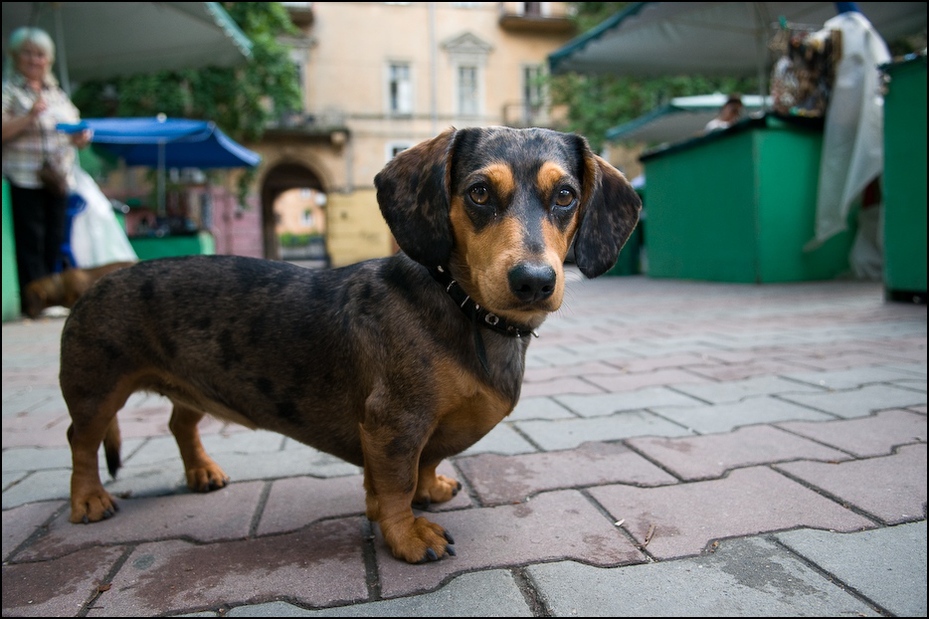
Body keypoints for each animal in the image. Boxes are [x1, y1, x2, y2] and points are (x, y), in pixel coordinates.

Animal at [58, 128, 640, 564]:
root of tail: (95, 283)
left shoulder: (417, 429)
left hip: (188, 384)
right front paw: (407, 534)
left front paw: (428, 490)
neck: (461, 306)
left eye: (565, 195)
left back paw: (200, 471)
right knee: (81, 441)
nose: (534, 281)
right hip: (95, 390)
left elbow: (423, 463)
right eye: (478, 192)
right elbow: (396, 483)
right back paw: (88, 499)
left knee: (181, 422)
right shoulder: (394, 419)